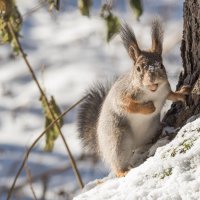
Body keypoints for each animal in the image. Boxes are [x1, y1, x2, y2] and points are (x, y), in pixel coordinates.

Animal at [77, 19, 190, 177]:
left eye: (161, 65)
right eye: (138, 69)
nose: (152, 79)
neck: (152, 92)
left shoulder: (165, 91)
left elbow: (171, 95)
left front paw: (182, 92)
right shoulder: (122, 95)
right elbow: (128, 105)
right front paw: (150, 107)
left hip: (151, 130)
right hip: (118, 139)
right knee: (117, 161)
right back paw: (122, 171)